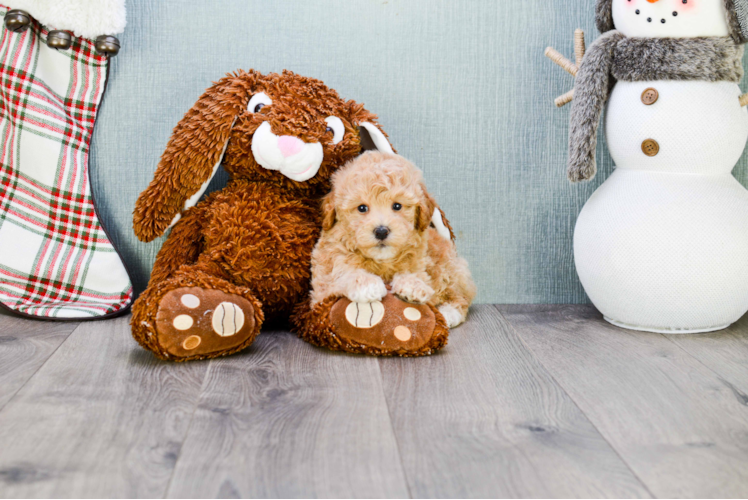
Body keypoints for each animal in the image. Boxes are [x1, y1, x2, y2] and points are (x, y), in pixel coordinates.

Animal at [308, 150, 474, 326]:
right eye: (362, 208)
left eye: (397, 206)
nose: (381, 231)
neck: (381, 262)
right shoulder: (322, 287)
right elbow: (342, 275)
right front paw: (368, 284)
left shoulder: (422, 264)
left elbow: (417, 275)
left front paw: (412, 285)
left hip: (452, 269)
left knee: (460, 297)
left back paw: (448, 313)